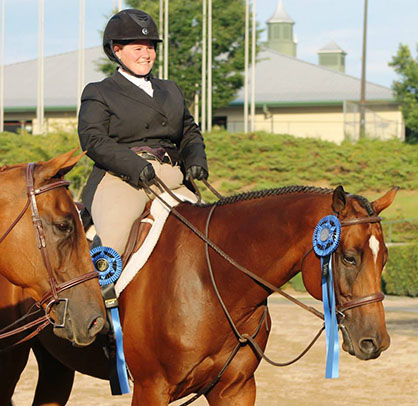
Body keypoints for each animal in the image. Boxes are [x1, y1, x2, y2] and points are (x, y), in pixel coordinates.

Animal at [0, 186, 398, 404]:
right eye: (349, 257)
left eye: (385, 259)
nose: (374, 341)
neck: (211, 281)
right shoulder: (151, 390)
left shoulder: (236, 390)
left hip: (56, 364)